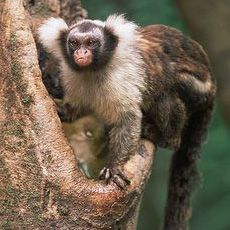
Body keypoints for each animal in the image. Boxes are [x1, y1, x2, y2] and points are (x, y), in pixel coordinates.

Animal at [37, 15, 216, 229]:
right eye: (74, 43)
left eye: (91, 42)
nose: (82, 52)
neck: (93, 72)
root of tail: (212, 89)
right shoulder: (72, 77)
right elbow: (75, 110)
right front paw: (60, 109)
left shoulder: (121, 80)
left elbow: (128, 119)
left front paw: (114, 167)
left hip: (196, 91)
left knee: (166, 91)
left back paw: (163, 136)